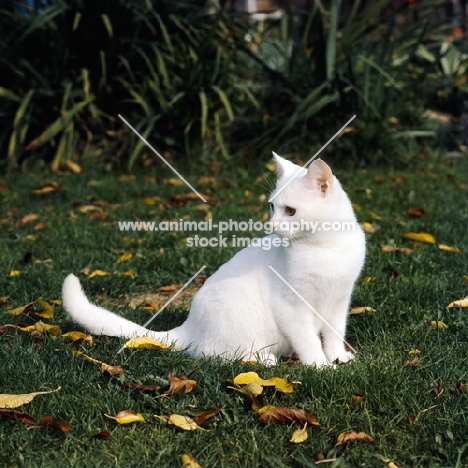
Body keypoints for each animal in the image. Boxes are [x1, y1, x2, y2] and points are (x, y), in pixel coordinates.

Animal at [62, 155, 364, 368]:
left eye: (290, 211)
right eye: (272, 206)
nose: (271, 225)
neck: (325, 247)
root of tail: (188, 326)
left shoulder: (339, 301)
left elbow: (334, 334)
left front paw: (337, 358)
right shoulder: (292, 307)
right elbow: (309, 341)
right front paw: (320, 367)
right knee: (220, 357)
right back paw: (265, 361)